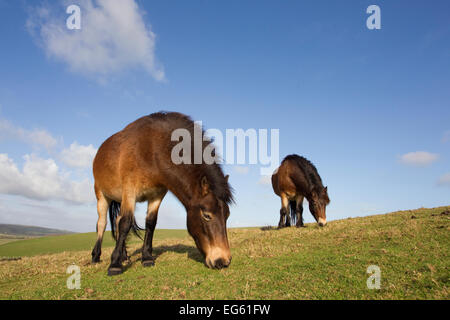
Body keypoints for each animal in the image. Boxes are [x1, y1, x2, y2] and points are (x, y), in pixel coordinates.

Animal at [90, 112, 234, 276]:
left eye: (227, 215)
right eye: (207, 215)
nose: (223, 261)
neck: (151, 149)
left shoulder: (157, 195)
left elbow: (150, 223)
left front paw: (146, 258)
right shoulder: (129, 192)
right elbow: (126, 223)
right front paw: (114, 264)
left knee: (117, 221)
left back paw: (124, 256)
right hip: (102, 195)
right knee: (102, 224)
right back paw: (96, 257)